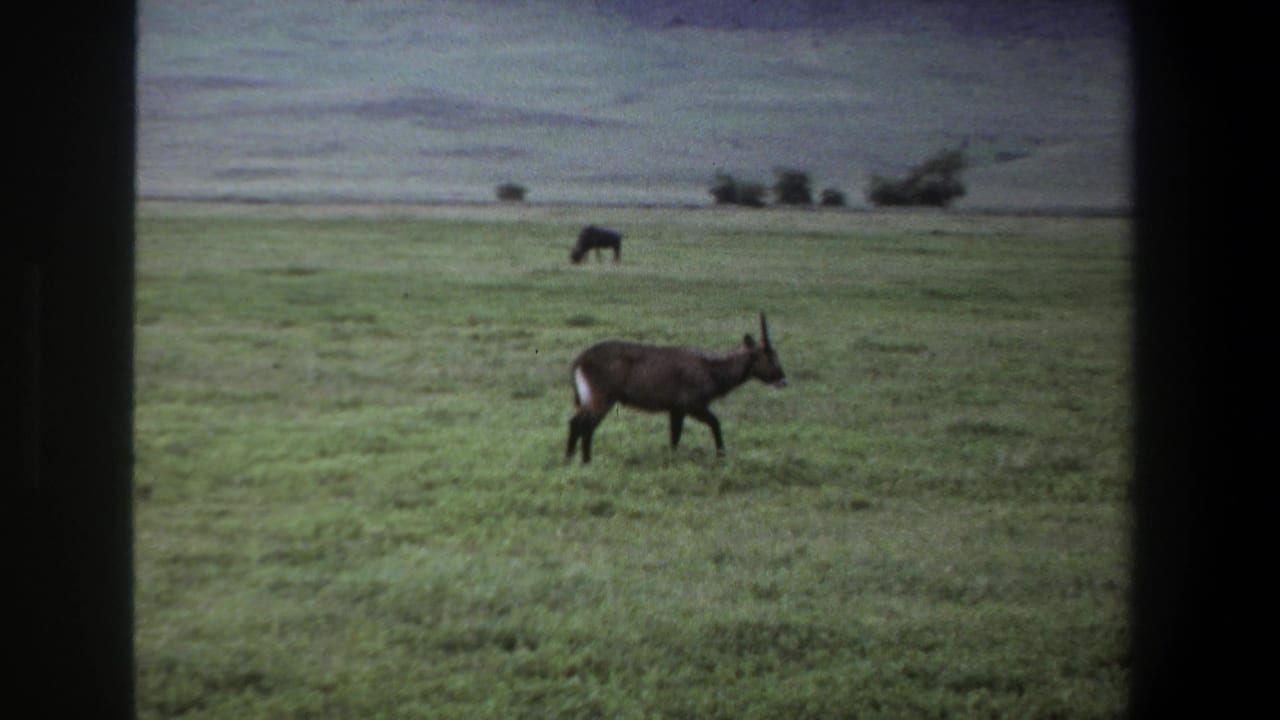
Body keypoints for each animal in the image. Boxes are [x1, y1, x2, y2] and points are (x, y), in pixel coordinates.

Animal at [566, 313, 787, 463]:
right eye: (770, 357)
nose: (783, 379)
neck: (711, 369)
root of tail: (580, 360)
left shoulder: (676, 410)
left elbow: (674, 437)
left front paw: (672, 459)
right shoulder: (692, 405)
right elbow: (715, 423)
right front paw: (721, 455)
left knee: (578, 423)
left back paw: (572, 459)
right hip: (602, 398)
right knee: (583, 425)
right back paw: (584, 461)